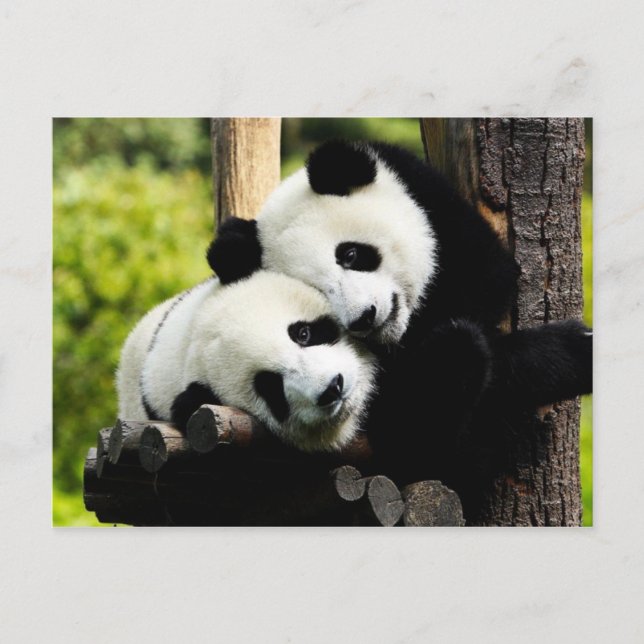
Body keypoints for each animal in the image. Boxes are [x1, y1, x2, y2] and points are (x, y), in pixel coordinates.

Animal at [206, 140, 592, 495]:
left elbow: (489, 281)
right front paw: (568, 352)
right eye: (320, 292)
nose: (364, 318)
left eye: (350, 254)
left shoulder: (434, 206)